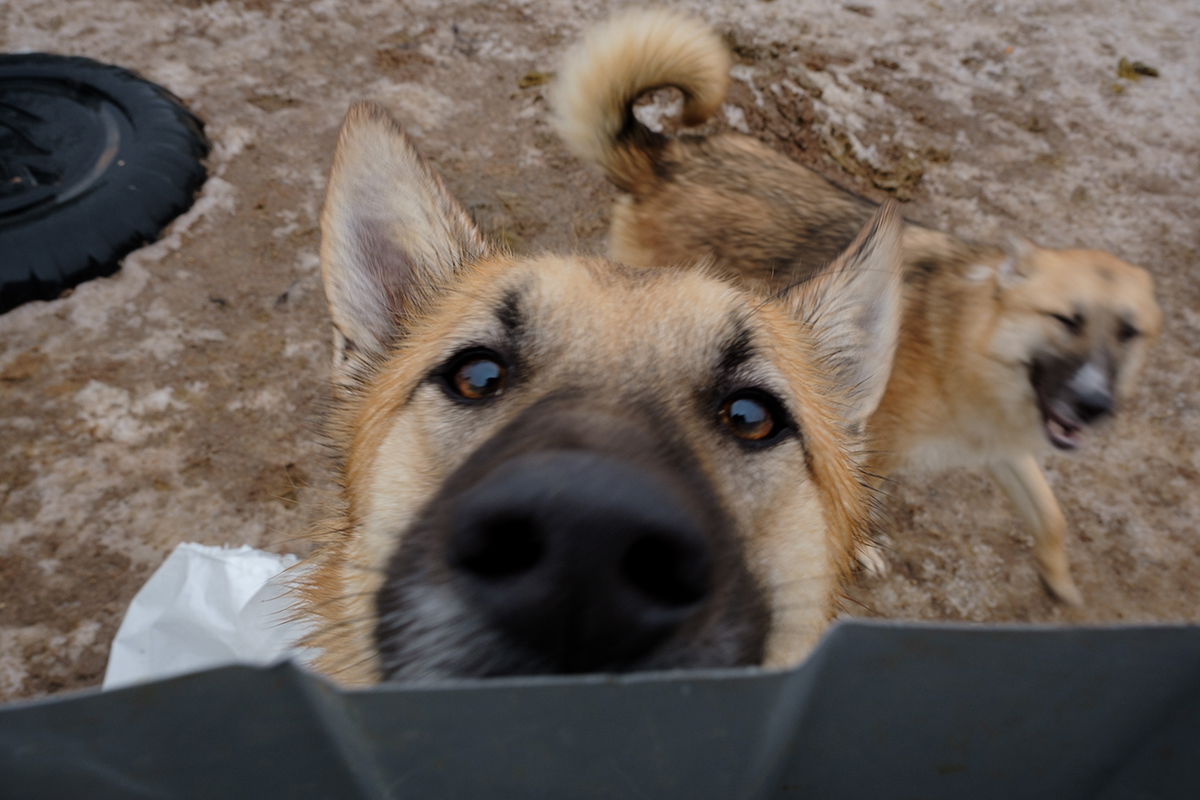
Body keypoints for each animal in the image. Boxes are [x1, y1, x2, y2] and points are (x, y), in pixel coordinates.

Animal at [552, 7, 1161, 606]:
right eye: (1066, 319)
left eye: (1128, 333)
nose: (1094, 404)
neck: (963, 342)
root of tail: (666, 156)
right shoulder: (866, 442)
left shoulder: (1003, 451)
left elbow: (1051, 516)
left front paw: (1059, 582)